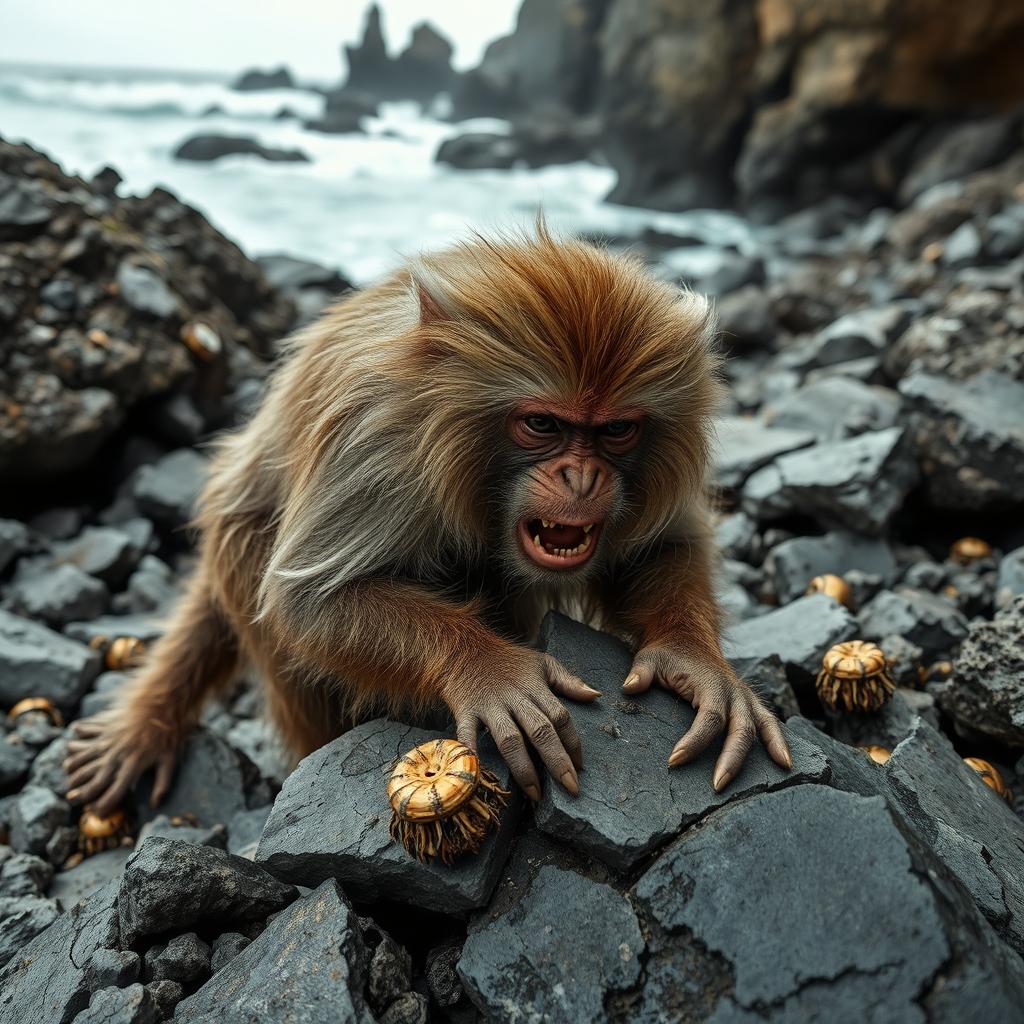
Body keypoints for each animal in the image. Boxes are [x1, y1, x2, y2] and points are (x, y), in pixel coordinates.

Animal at [64, 226, 791, 817]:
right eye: (542, 424)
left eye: (615, 431)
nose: (581, 479)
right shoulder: (377, 436)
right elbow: (309, 600)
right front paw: (489, 670)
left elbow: (662, 546)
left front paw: (691, 660)